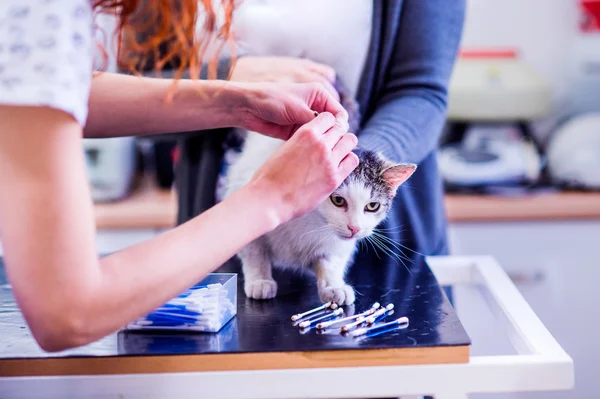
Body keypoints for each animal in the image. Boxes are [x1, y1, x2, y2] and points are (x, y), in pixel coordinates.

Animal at [223, 132, 414, 306]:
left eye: (373, 206)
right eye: (338, 200)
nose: (354, 228)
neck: (312, 221)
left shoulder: (336, 245)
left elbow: (330, 262)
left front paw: (334, 287)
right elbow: (255, 252)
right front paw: (260, 280)